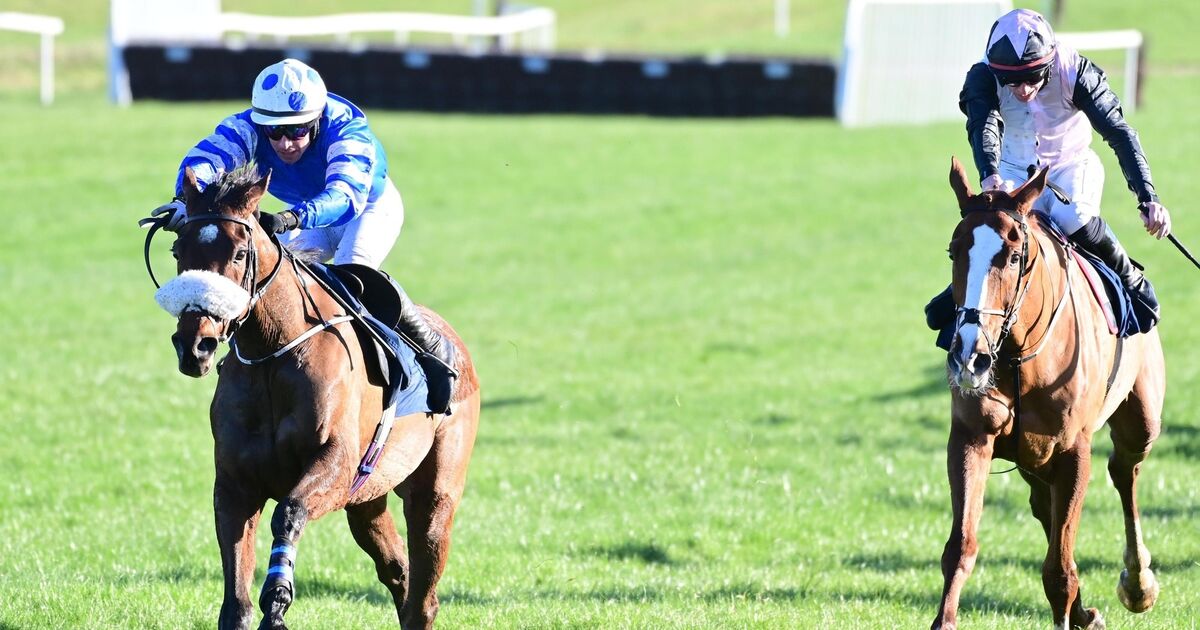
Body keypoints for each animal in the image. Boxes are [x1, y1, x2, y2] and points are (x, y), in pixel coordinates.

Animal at [154, 164, 480, 629]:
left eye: (239, 254)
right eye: (178, 250)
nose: (195, 344)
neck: (273, 354)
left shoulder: (334, 465)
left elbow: (288, 512)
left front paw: (278, 601)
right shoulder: (235, 484)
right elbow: (235, 596)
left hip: (435, 492)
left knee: (423, 593)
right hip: (368, 498)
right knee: (397, 571)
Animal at [933, 158, 1164, 629]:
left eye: (1013, 255)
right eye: (954, 252)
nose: (968, 356)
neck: (1019, 353)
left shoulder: (1074, 450)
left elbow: (1059, 568)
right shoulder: (971, 437)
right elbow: (961, 547)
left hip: (1141, 419)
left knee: (1124, 471)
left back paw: (1137, 584)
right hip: (1031, 453)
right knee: (1046, 505)